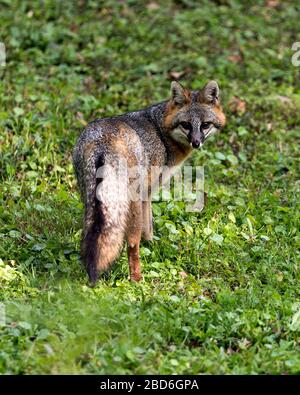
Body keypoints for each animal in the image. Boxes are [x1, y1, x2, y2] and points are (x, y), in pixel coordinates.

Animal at [73, 80, 225, 284]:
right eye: (186, 124)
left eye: (205, 125)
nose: (196, 142)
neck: (161, 130)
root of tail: (102, 142)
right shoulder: (147, 191)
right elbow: (148, 226)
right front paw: (152, 245)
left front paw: (151, 246)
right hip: (130, 207)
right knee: (131, 244)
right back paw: (136, 278)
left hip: (90, 201)